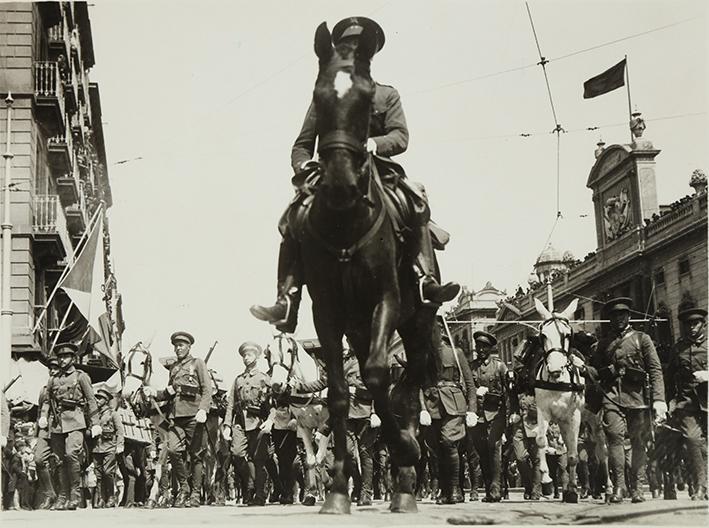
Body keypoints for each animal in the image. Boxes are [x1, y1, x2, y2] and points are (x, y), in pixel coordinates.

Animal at [264, 336, 330, 506]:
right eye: (268, 353)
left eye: (289, 350)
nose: (276, 384)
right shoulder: (303, 426)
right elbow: (311, 460)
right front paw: (311, 494)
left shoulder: (325, 423)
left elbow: (321, 457)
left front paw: (327, 484)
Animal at [288, 22, 436, 512]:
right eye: (318, 96)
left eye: (369, 97)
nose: (338, 183)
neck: (343, 222)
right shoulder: (328, 313)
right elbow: (337, 395)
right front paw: (336, 491)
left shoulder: (385, 299)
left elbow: (374, 374)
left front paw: (405, 450)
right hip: (357, 325)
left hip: (418, 319)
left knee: (410, 380)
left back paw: (406, 473)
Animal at [532, 296, 584, 504]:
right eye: (543, 335)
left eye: (568, 335)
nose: (555, 369)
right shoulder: (543, 410)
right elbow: (540, 440)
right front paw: (546, 479)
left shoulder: (575, 415)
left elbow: (573, 455)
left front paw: (572, 490)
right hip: (561, 421)